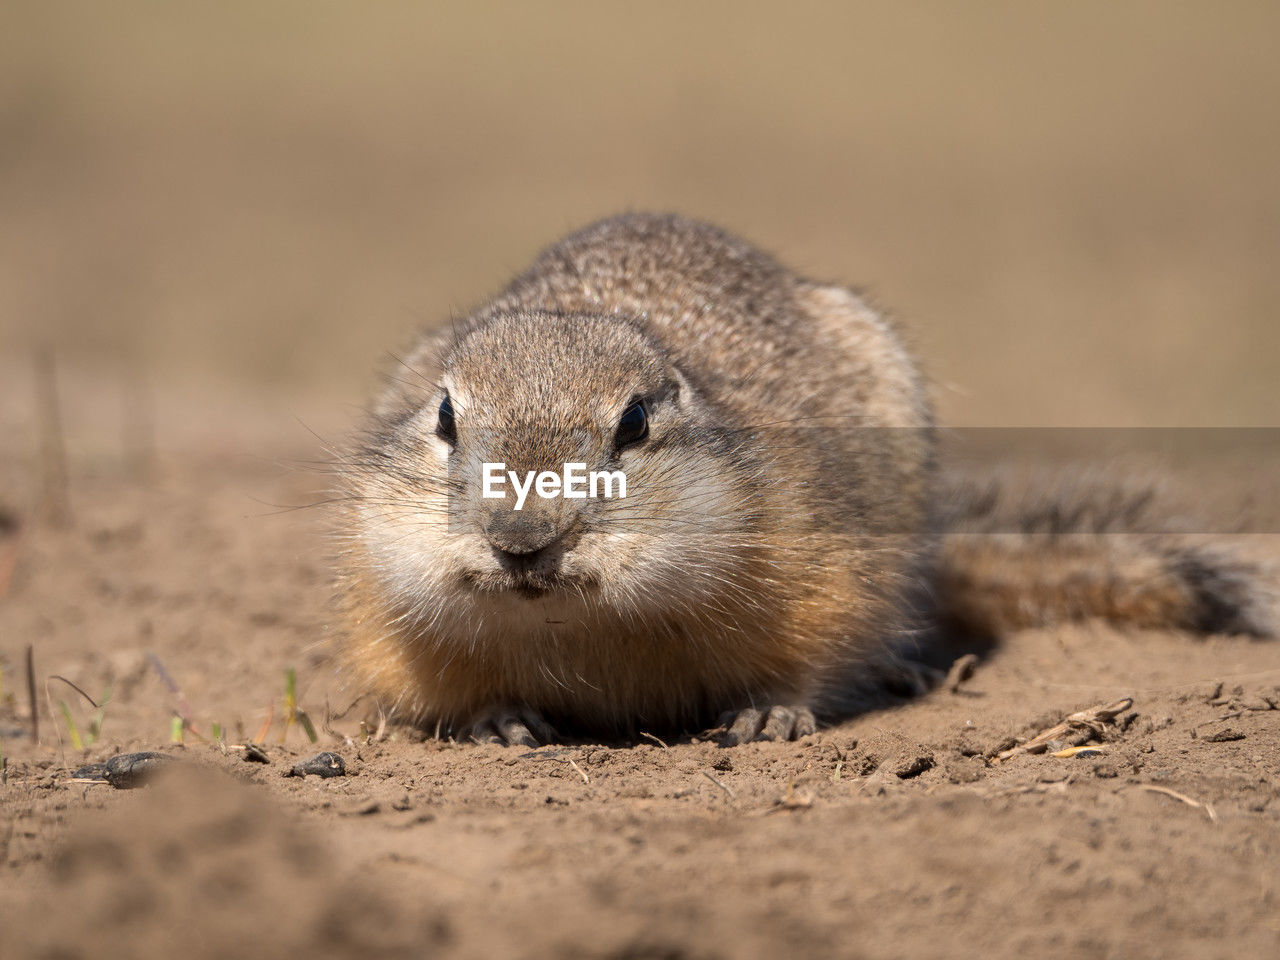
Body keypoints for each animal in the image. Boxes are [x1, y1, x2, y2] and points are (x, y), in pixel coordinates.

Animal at [332, 213, 1280, 747]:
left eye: (633, 423)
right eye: (445, 417)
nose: (521, 543)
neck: (582, 622)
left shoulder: (824, 561)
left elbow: (813, 656)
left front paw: (768, 715)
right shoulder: (386, 609)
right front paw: (496, 719)